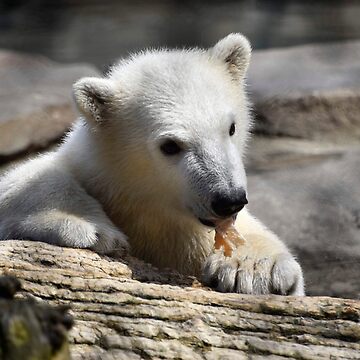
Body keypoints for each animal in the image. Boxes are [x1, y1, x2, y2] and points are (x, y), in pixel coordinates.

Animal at [0, 33, 304, 294]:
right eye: (170, 146)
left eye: (231, 127)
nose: (228, 200)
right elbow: (27, 181)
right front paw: (90, 229)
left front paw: (254, 269)